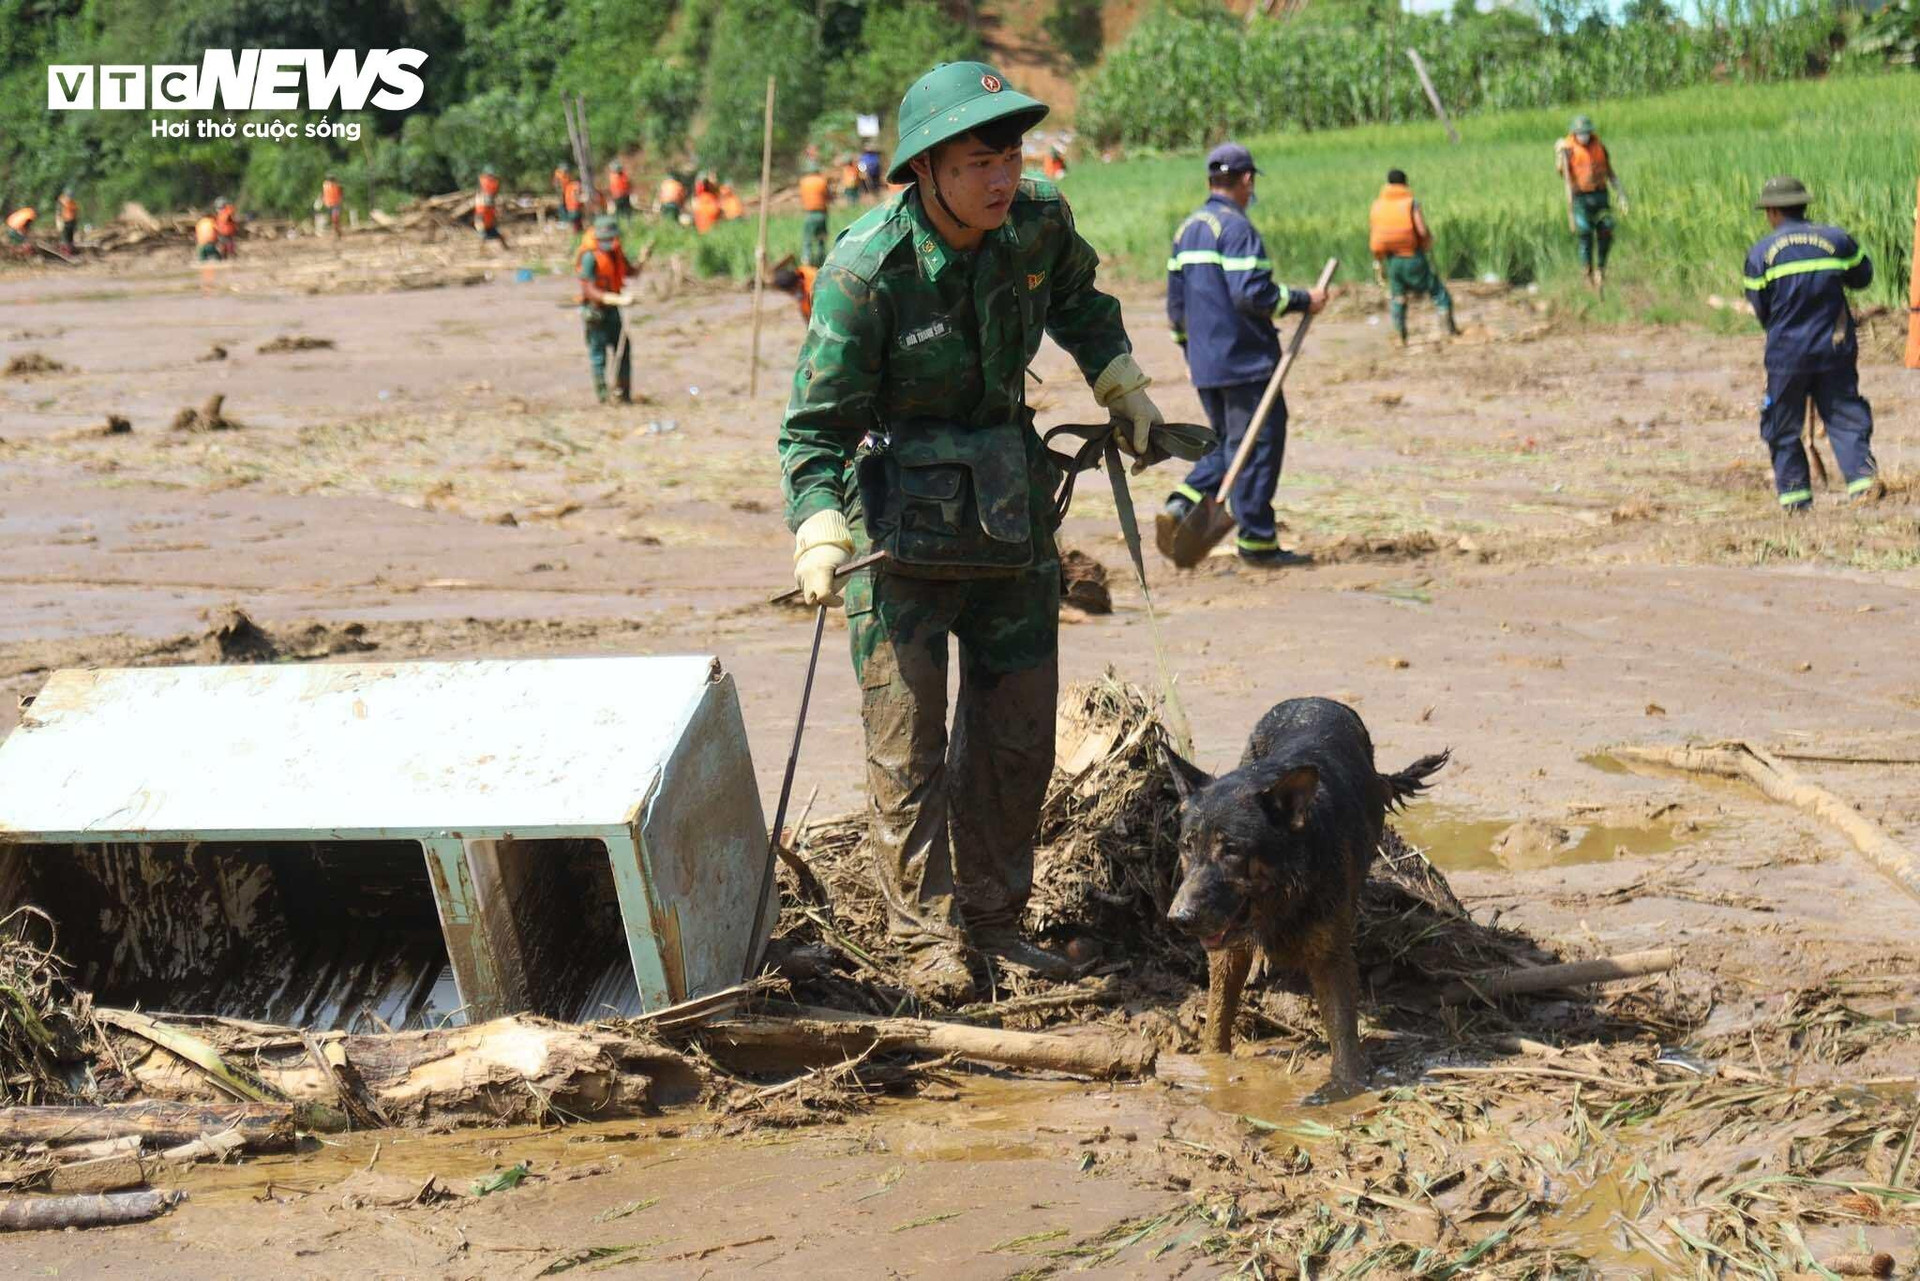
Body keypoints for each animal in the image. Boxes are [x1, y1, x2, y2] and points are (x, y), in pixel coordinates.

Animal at [1159, 702, 1443, 1090]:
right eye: (1187, 847)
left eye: (1231, 850)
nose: (1179, 918)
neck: (1285, 894)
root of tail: (1316, 698)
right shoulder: (1228, 953)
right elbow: (1217, 1018)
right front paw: (1211, 1068)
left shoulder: (1331, 958)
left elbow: (1343, 1033)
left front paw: (1347, 1088)